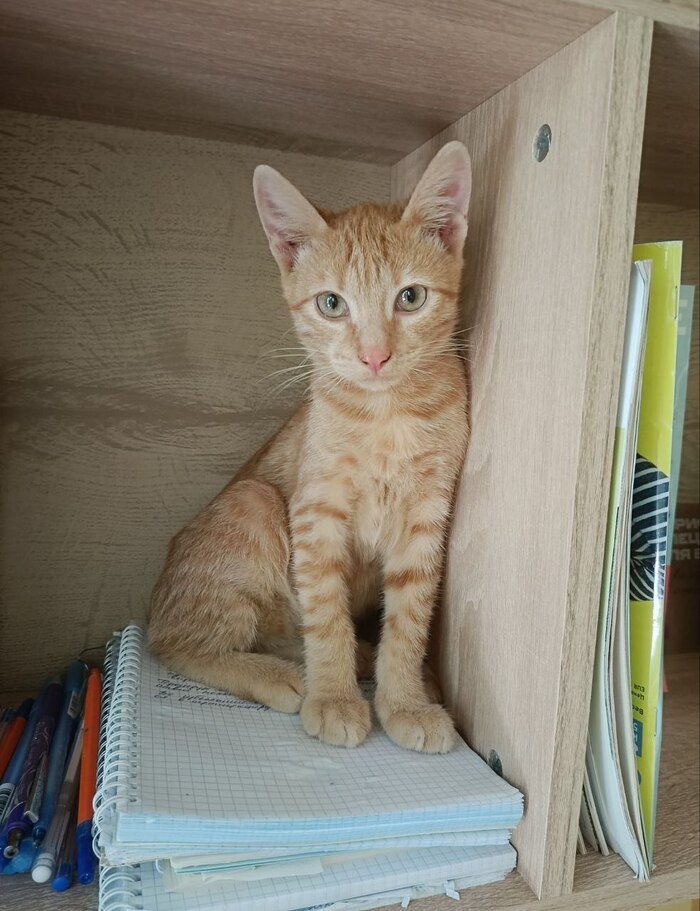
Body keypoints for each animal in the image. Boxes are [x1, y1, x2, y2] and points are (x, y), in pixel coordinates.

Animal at [148, 141, 471, 754]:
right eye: (331, 304)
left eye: (411, 297)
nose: (374, 356)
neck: (385, 416)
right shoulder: (315, 512)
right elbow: (326, 614)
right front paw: (334, 698)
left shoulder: (426, 517)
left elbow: (409, 618)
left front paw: (404, 702)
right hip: (251, 501)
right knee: (171, 644)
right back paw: (281, 675)